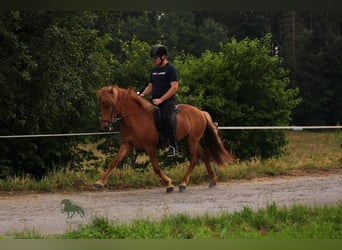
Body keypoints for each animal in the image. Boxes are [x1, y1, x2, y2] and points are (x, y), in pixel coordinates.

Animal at [93, 85, 235, 192]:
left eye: (108, 104)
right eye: (101, 105)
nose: (104, 127)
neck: (136, 117)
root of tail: (200, 112)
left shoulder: (150, 147)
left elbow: (156, 168)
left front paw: (169, 184)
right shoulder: (126, 144)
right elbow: (113, 162)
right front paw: (99, 183)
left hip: (192, 140)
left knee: (194, 159)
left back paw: (183, 184)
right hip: (191, 139)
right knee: (204, 156)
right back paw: (212, 180)